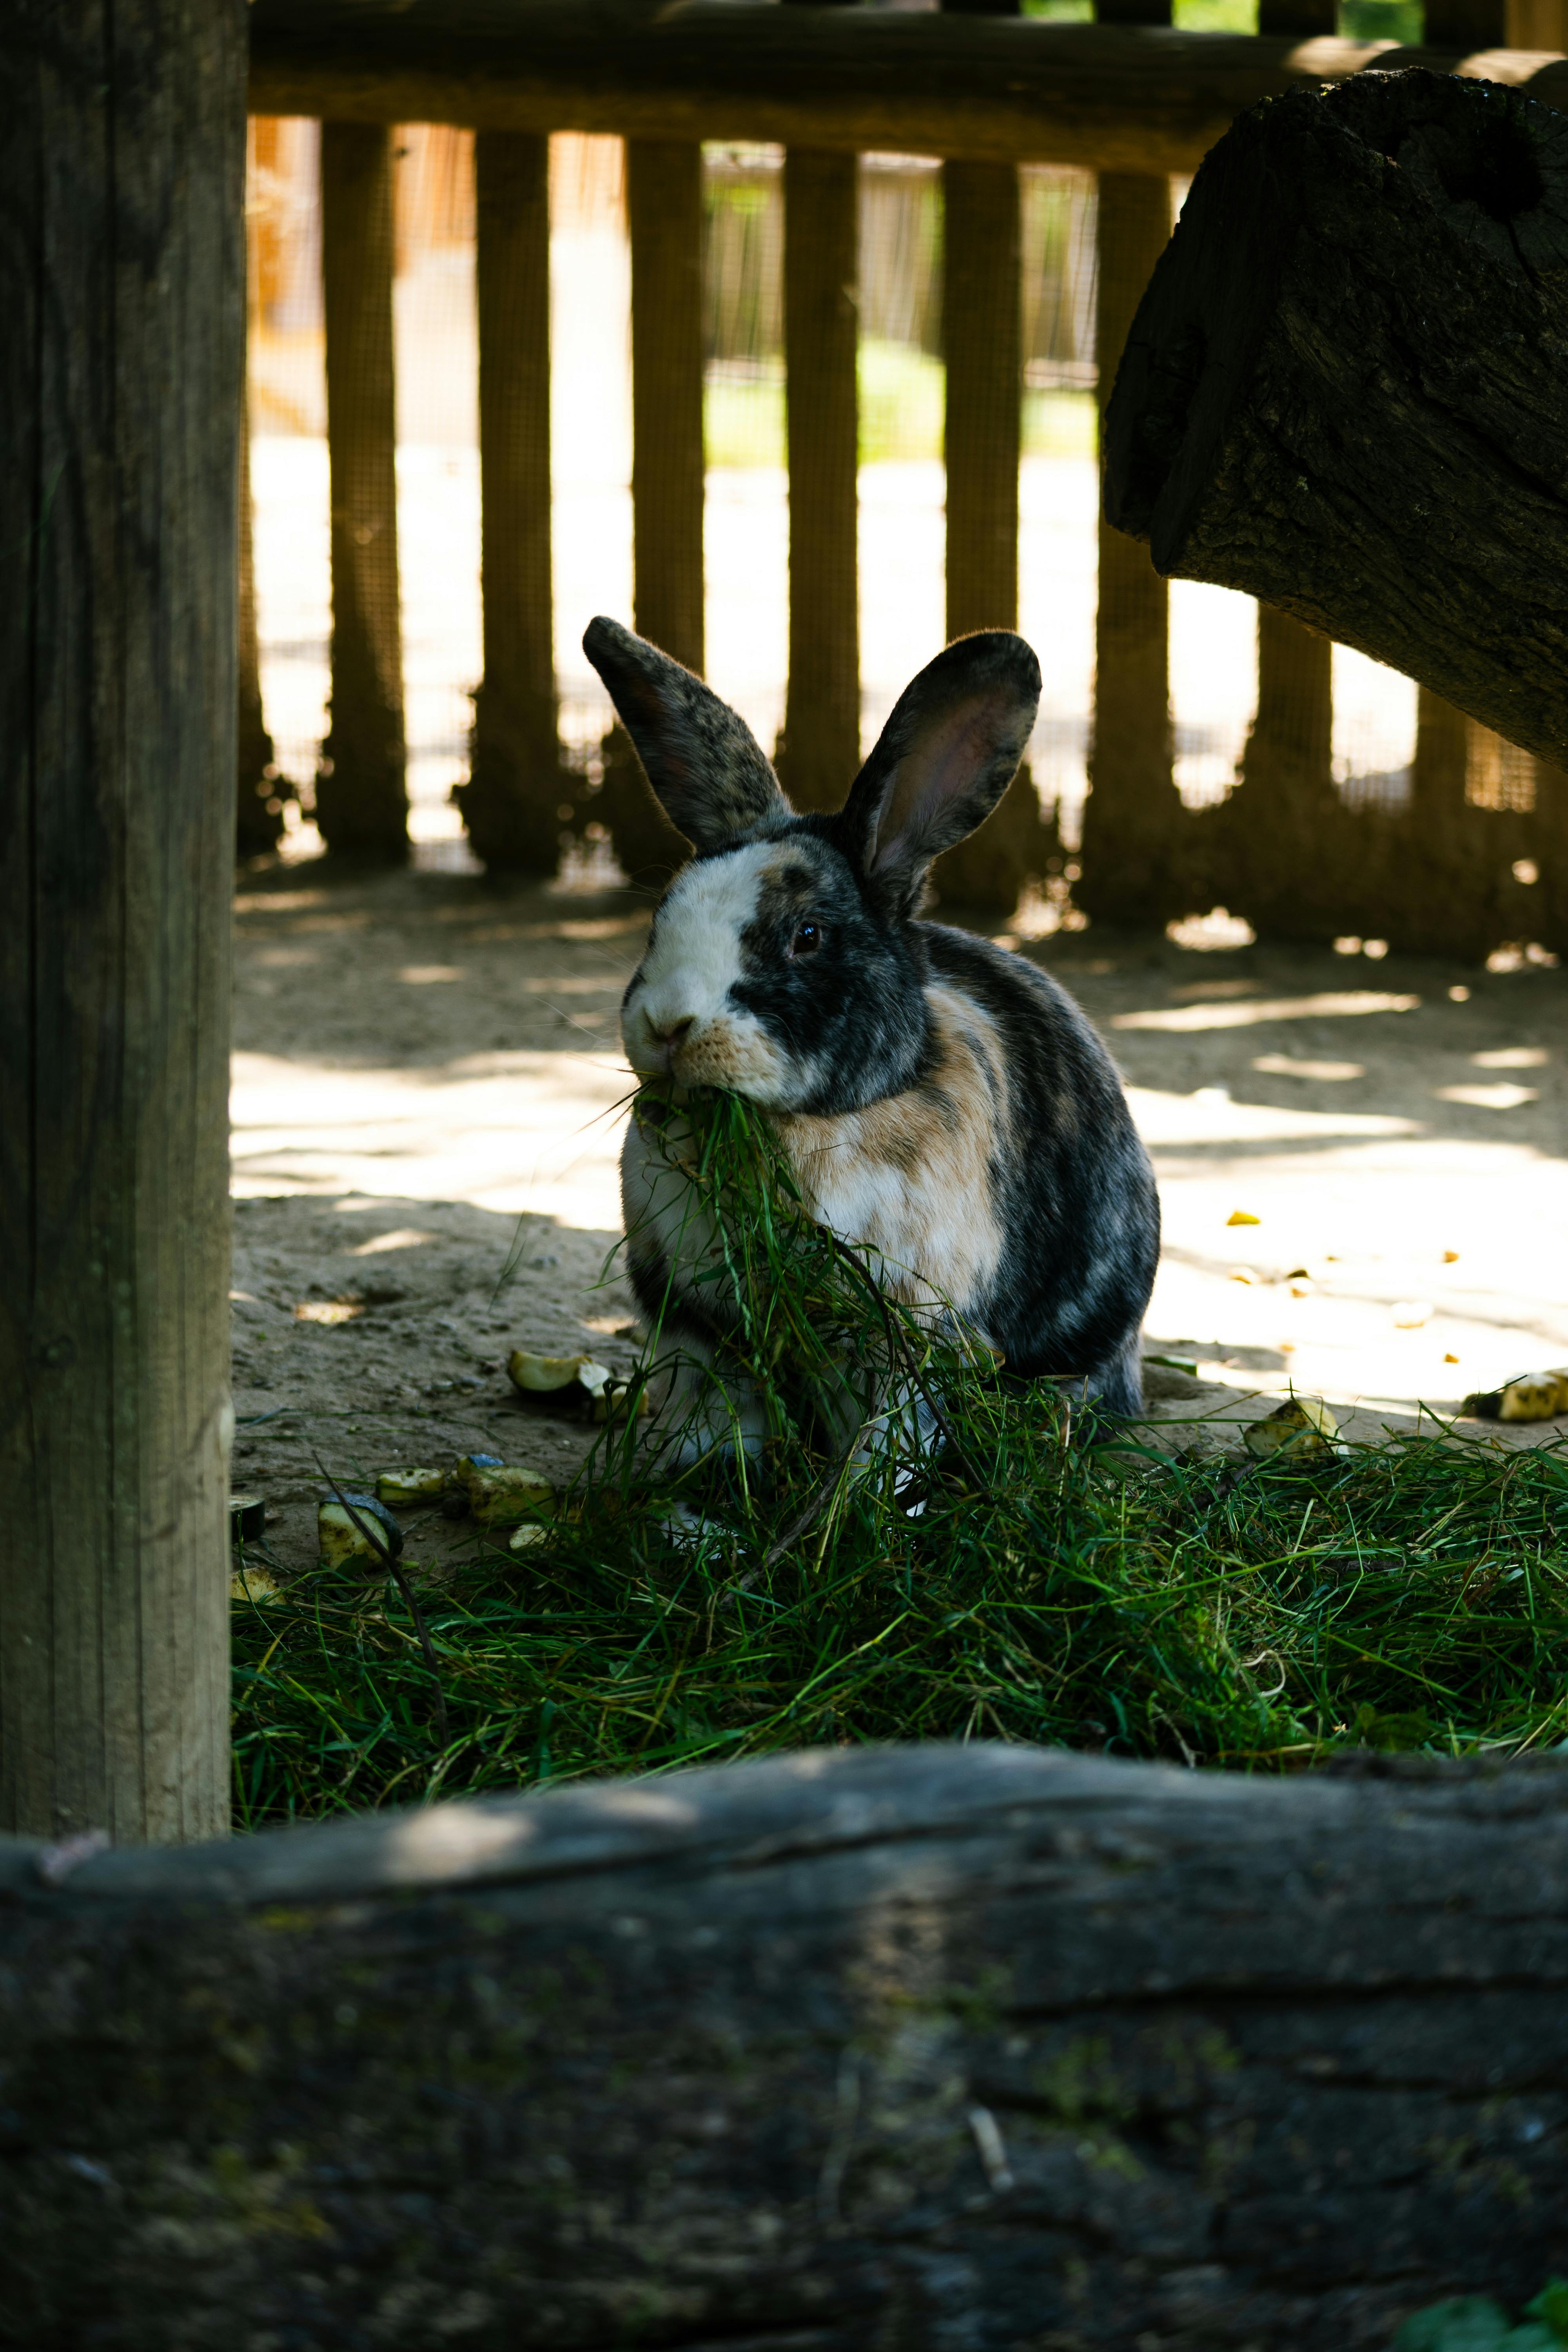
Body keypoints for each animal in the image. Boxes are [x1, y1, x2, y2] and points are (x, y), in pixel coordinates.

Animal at [583, 616, 1160, 1464]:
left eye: (807, 937)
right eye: (662, 915)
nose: (667, 1025)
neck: (809, 1128)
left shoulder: (915, 1330)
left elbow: (892, 1436)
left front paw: (853, 1498)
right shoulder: (696, 1326)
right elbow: (717, 1419)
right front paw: (690, 1488)